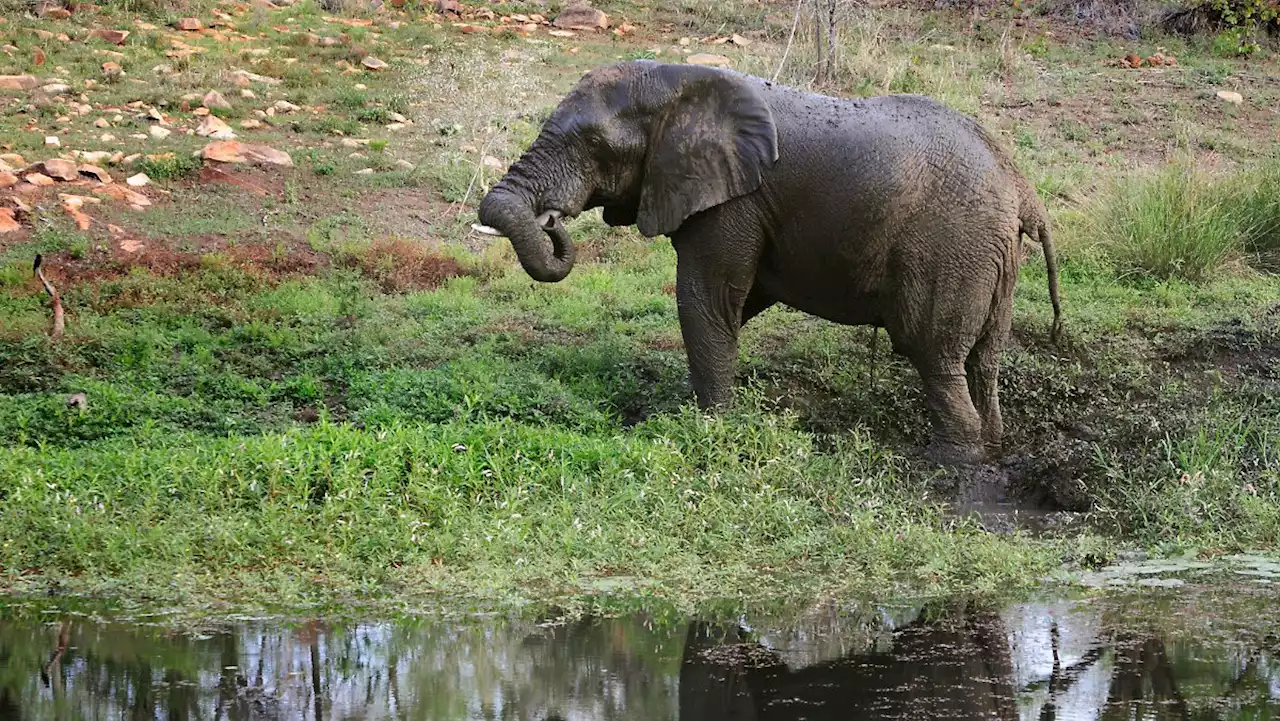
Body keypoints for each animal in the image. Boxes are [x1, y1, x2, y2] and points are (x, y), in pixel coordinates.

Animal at [476, 59, 1064, 466]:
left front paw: (708, 426)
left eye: (593, 142)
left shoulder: (734, 201)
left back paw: (945, 462)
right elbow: (738, 302)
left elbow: (707, 299)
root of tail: (1023, 189)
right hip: (993, 260)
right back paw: (991, 446)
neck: (679, 81)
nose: (553, 220)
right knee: (983, 361)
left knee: (934, 355)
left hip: (953, 248)